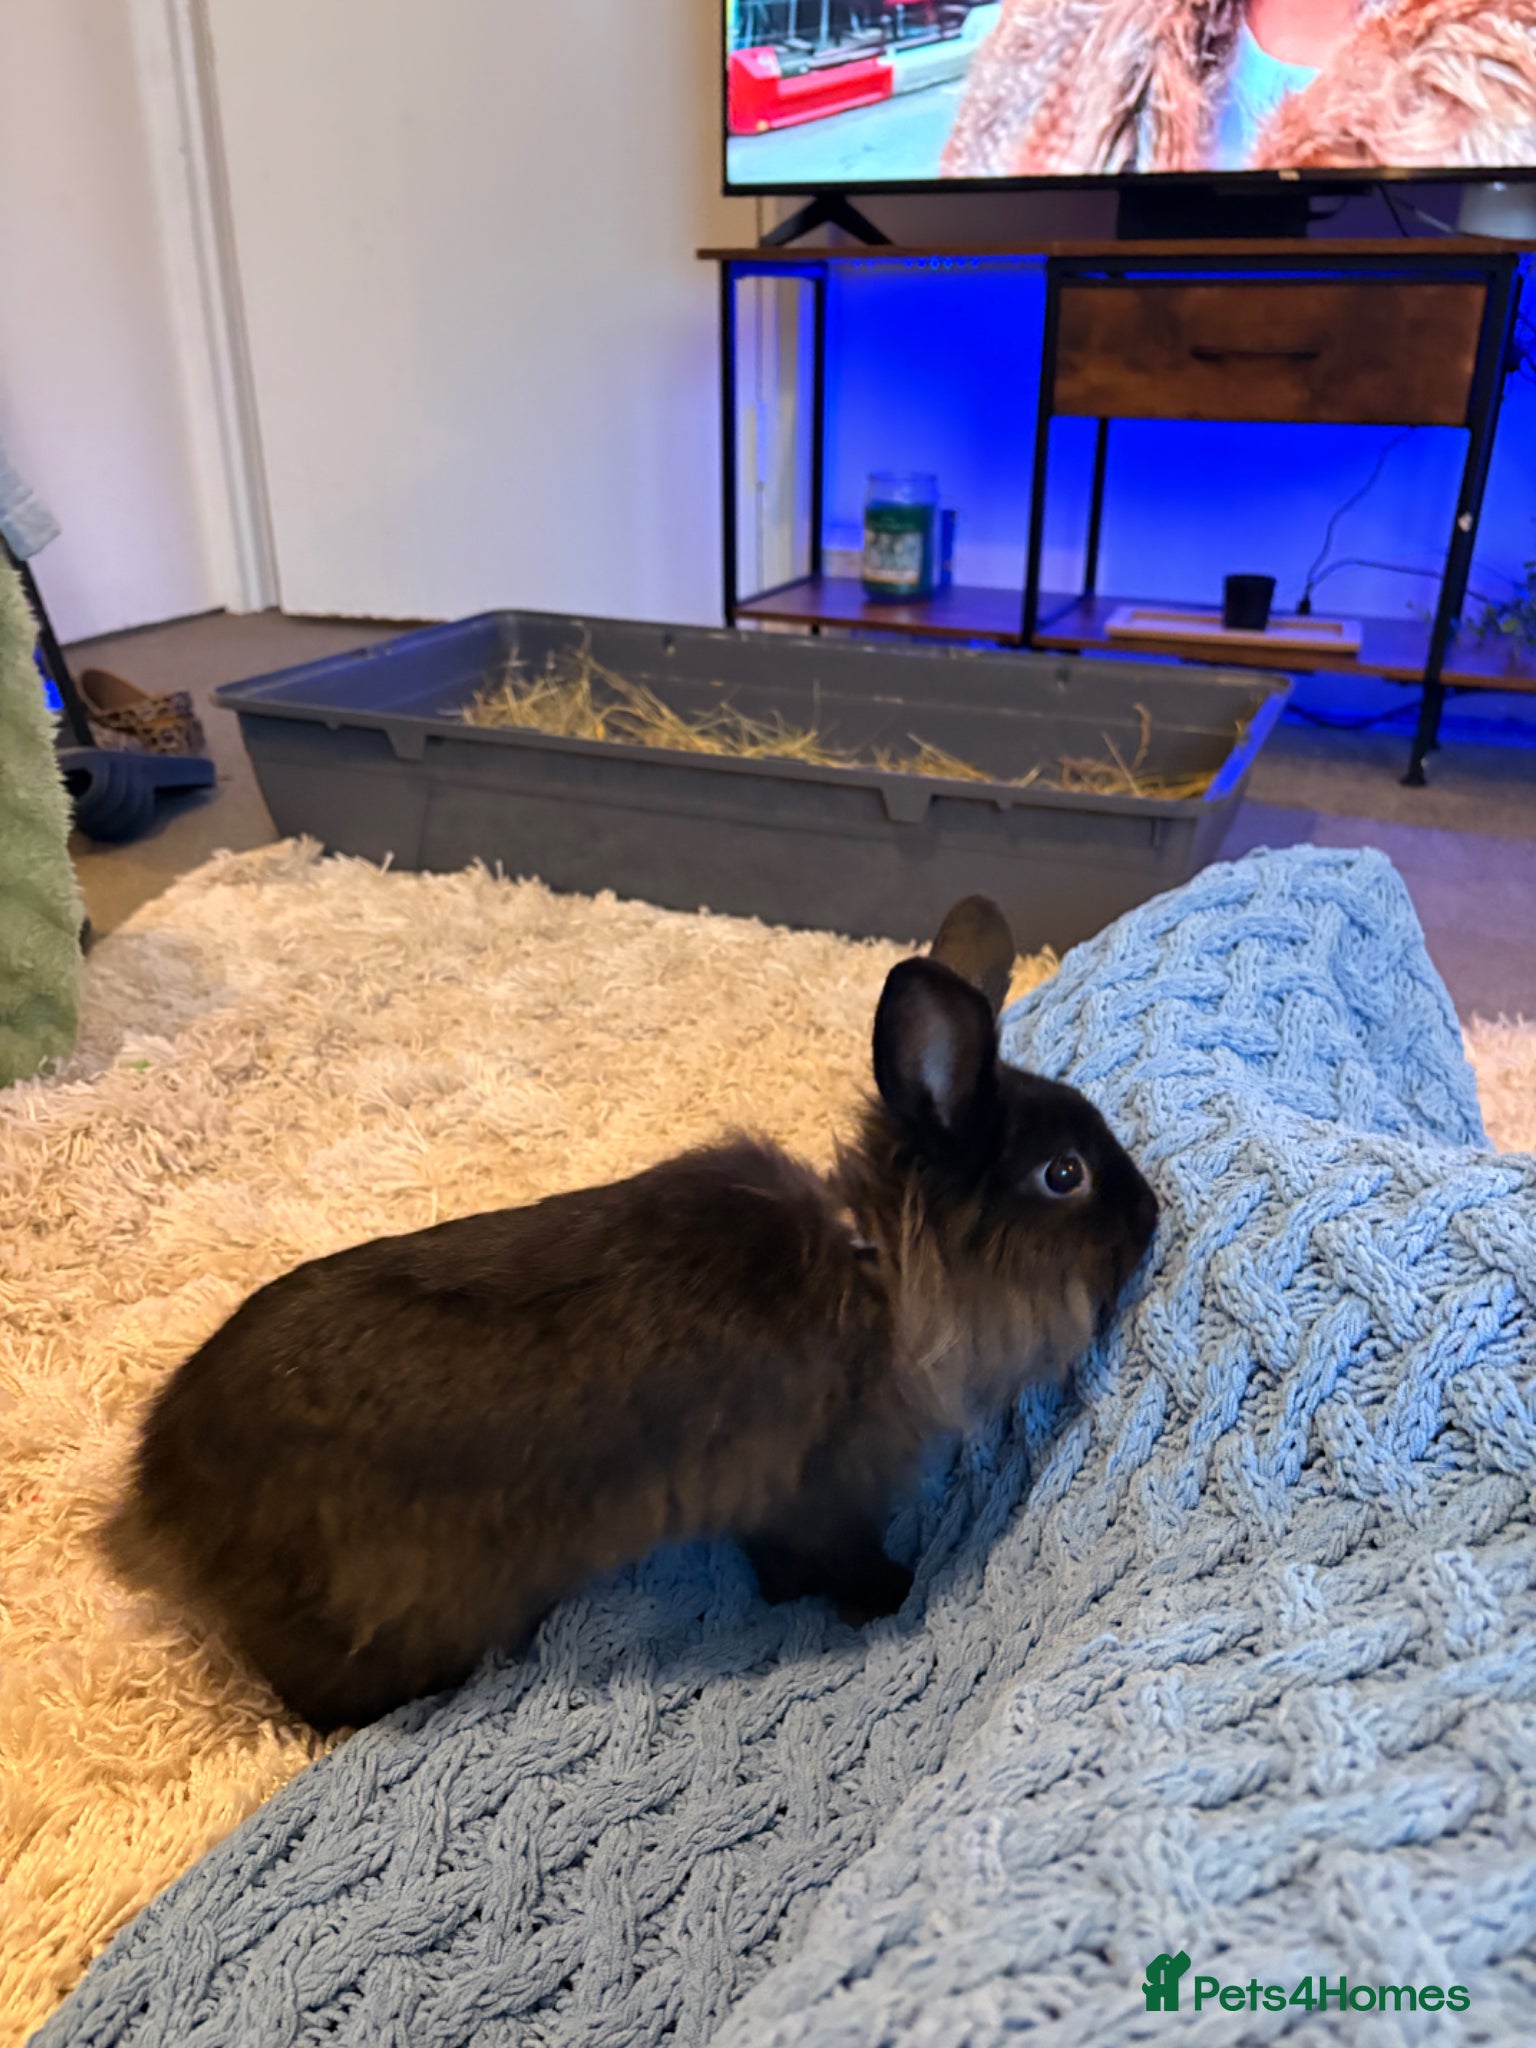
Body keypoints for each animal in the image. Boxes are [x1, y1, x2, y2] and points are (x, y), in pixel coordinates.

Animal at [106, 896, 1158, 1732]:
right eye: (1064, 1175)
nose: (1153, 1217)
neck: (885, 1274)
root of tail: (157, 1504)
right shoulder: (820, 1493)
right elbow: (830, 1566)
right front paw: (895, 1599)